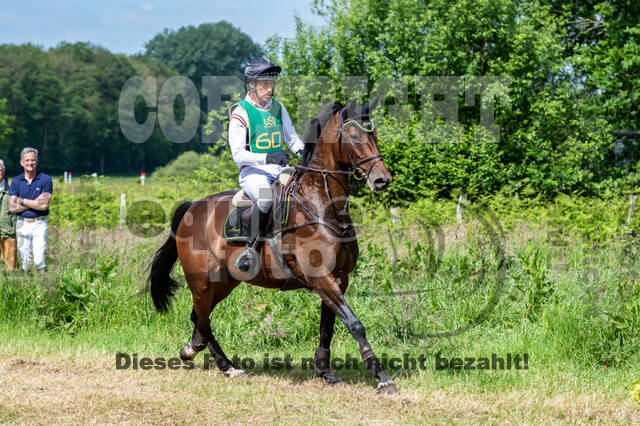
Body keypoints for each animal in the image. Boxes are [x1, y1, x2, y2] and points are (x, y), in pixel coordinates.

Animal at [149, 98, 397, 394]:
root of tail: (191, 208)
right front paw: (381, 377)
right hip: (202, 282)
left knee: (199, 317)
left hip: (224, 282)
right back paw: (214, 360)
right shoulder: (321, 278)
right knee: (202, 318)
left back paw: (213, 359)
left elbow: (328, 326)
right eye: (355, 137)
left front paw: (325, 372)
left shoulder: (338, 278)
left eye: (375, 135)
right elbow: (355, 324)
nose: (382, 180)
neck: (320, 206)